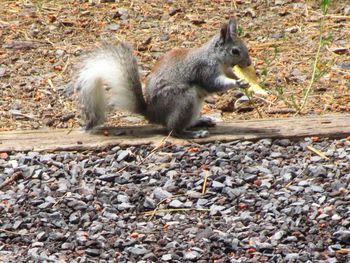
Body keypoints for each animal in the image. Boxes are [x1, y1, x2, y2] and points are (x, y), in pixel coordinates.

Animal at [74, 17, 252, 139]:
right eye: (235, 51)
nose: (249, 63)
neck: (217, 58)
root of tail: (152, 114)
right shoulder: (205, 69)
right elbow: (214, 84)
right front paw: (238, 82)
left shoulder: (226, 69)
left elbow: (229, 74)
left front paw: (246, 81)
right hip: (184, 100)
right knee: (173, 130)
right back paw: (193, 134)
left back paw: (201, 121)